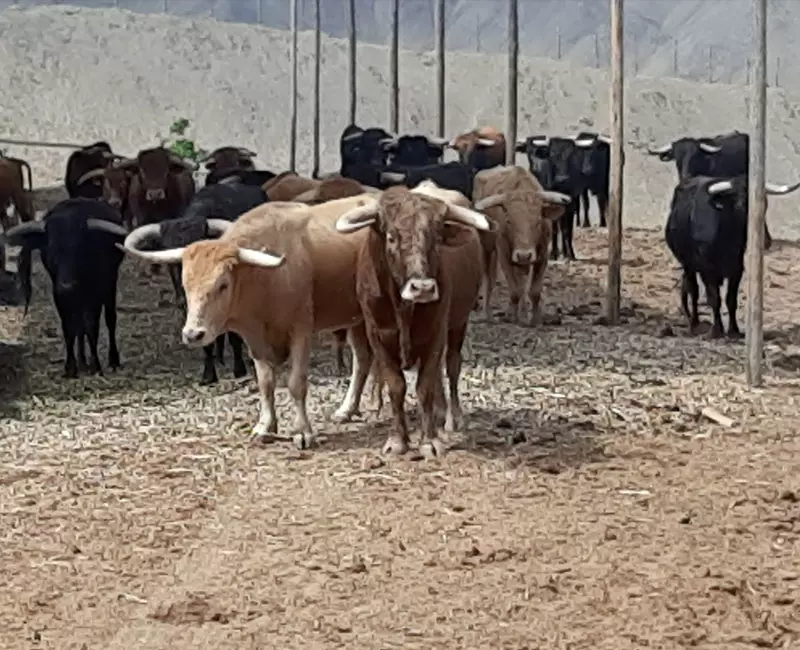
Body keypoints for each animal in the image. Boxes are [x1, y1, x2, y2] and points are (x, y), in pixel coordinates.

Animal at [5, 198, 128, 377]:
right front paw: (71, 366)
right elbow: (69, 328)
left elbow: (92, 326)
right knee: (79, 326)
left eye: (81, 248)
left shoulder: (95, 293)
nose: (67, 286)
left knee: (109, 319)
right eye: (51, 248)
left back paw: (112, 360)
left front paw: (96, 365)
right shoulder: (60, 296)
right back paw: (82, 361)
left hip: (110, 284)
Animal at [116, 194, 388, 450]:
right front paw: (265, 427)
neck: (263, 279)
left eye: (222, 285)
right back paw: (347, 409)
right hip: (356, 319)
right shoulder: (254, 339)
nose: (193, 334)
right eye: (185, 283)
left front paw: (302, 432)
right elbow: (265, 383)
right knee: (362, 360)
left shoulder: (300, 331)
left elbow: (296, 383)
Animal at [333, 186, 492, 457]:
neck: (403, 307)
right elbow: (396, 385)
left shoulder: (436, 332)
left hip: (458, 323)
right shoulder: (377, 334)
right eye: (391, 238)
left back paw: (452, 417)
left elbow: (424, 386)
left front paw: (430, 441)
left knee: (451, 366)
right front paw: (398, 440)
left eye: (436, 238)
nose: (423, 288)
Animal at [472, 166, 571, 324]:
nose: (524, 255)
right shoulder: (504, 255)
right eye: (508, 221)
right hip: (486, 247)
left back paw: (523, 313)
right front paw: (514, 317)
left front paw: (535, 319)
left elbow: (534, 291)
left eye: (538, 221)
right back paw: (487, 314)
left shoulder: (542, 255)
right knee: (489, 279)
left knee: (521, 280)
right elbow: (514, 290)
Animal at [664, 174, 799, 338]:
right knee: (693, 290)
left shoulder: (737, 269)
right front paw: (717, 330)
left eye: (765, 205)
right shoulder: (708, 271)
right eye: (740, 206)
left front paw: (734, 330)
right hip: (687, 265)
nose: (766, 241)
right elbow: (714, 298)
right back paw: (695, 324)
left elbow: (731, 299)